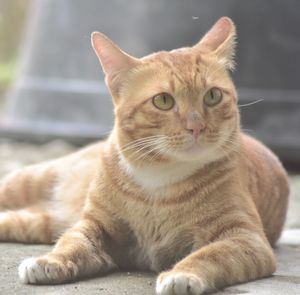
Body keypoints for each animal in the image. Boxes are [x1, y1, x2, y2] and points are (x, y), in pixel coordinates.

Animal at [0, 17, 290, 294]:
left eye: (213, 96)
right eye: (163, 101)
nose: (196, 126)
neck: (158, 178)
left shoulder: (245, 238)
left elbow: (210, 254)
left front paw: (182, 275)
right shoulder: (93, 226)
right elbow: (71, 243)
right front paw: (50, 260)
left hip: (42, 222)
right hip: (28, 183)